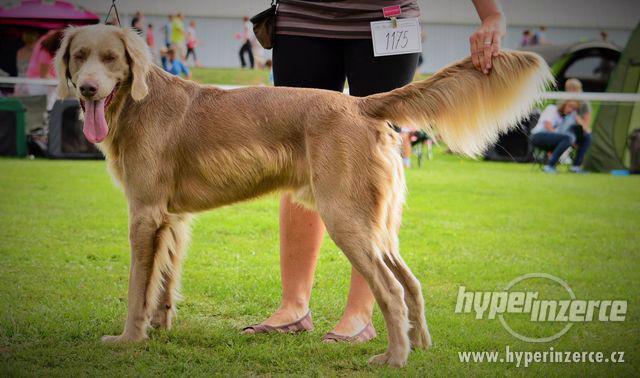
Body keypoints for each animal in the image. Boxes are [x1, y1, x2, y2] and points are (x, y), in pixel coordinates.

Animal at [55, 25, 552, 368]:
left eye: (111, 58)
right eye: (79, 56)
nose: (89, 88)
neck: (138, 103)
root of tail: (359, 104)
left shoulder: (143, 214)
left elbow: (136, 286)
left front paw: (127, 340)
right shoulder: (172, 218)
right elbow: (163, 283)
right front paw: (158, 330)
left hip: (346, 219)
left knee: (391, 289)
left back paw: (394, 358)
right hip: (378, 224)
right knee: (411, 283)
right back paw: (420, 349)